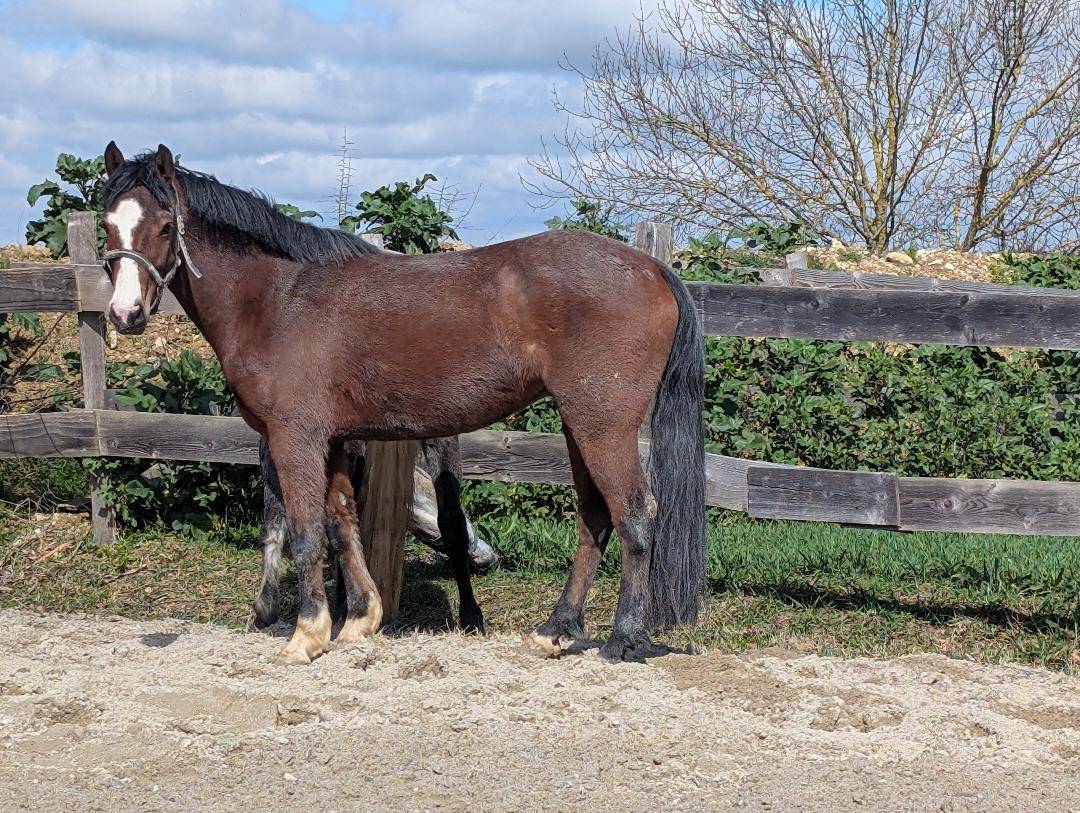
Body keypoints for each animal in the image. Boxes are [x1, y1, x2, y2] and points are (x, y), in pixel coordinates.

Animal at [99, 142, 706, 665]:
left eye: (164, 225)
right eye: (107, 225)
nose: (126, 314)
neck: (279, 299)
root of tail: (652, 268)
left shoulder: (295, 437)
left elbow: (304, 531)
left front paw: (307, 634)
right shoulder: (334, 439)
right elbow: (342, 521)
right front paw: (360, 620)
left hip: (603, 426)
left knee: (635, 516)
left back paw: (623, 639)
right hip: (579, 426)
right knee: (594, 519)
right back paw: (556, 630)